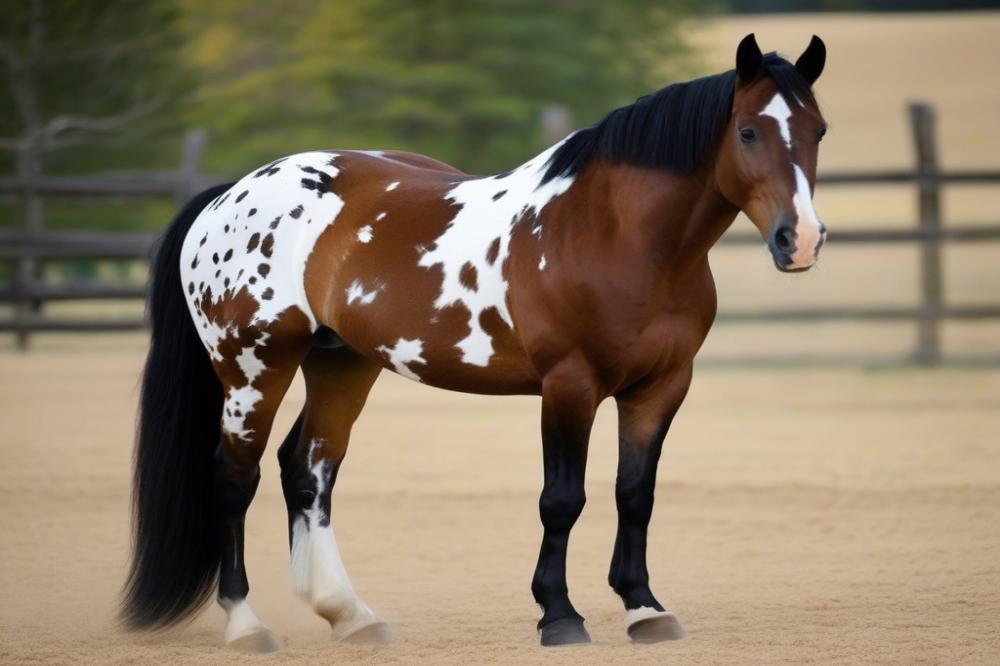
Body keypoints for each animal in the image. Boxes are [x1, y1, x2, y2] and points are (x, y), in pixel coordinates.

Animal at [122, 33, 827, 651]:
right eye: (747, 131)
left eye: (818, 130)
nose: (801, 241)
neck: (614, 233)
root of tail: (231, 195)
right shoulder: (569, 385)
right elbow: (562, 500)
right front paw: (559, 617)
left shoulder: (660, 387)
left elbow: (635, 494)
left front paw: (644, 609)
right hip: (252, 366)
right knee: (233, 479)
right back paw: (247, 626)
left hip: (341, 364)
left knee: (308, 470)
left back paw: (350, 615)